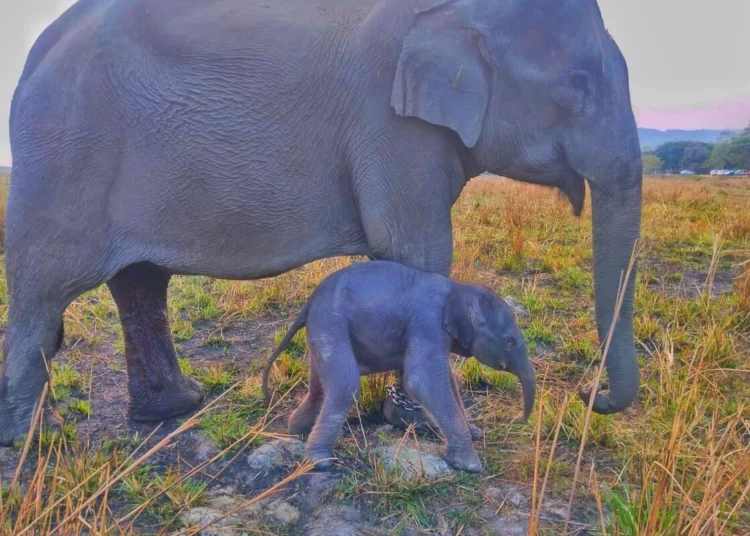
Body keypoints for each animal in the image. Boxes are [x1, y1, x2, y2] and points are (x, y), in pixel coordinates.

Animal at [0, 0, 642, 446]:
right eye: (575, 88)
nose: (589, 395)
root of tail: (36, 53)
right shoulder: (391, 125)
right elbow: (419, 251)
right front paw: (433, 427)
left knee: (139, 281)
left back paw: (174, 409)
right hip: (65, 154)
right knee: (45, 293)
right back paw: (35, 439)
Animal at [260, 261, 536, 472]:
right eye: (509, 341)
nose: (517, 419)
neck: (458, 288)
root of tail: (310, 300)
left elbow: (448, 382)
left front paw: (475, 434)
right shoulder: (427, 324)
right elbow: (423, 380)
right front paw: (470, 466)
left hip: (322, 328)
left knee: (319, 387)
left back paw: (297, 429)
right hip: (331, 322)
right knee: (345, 386)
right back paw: (320, 463)